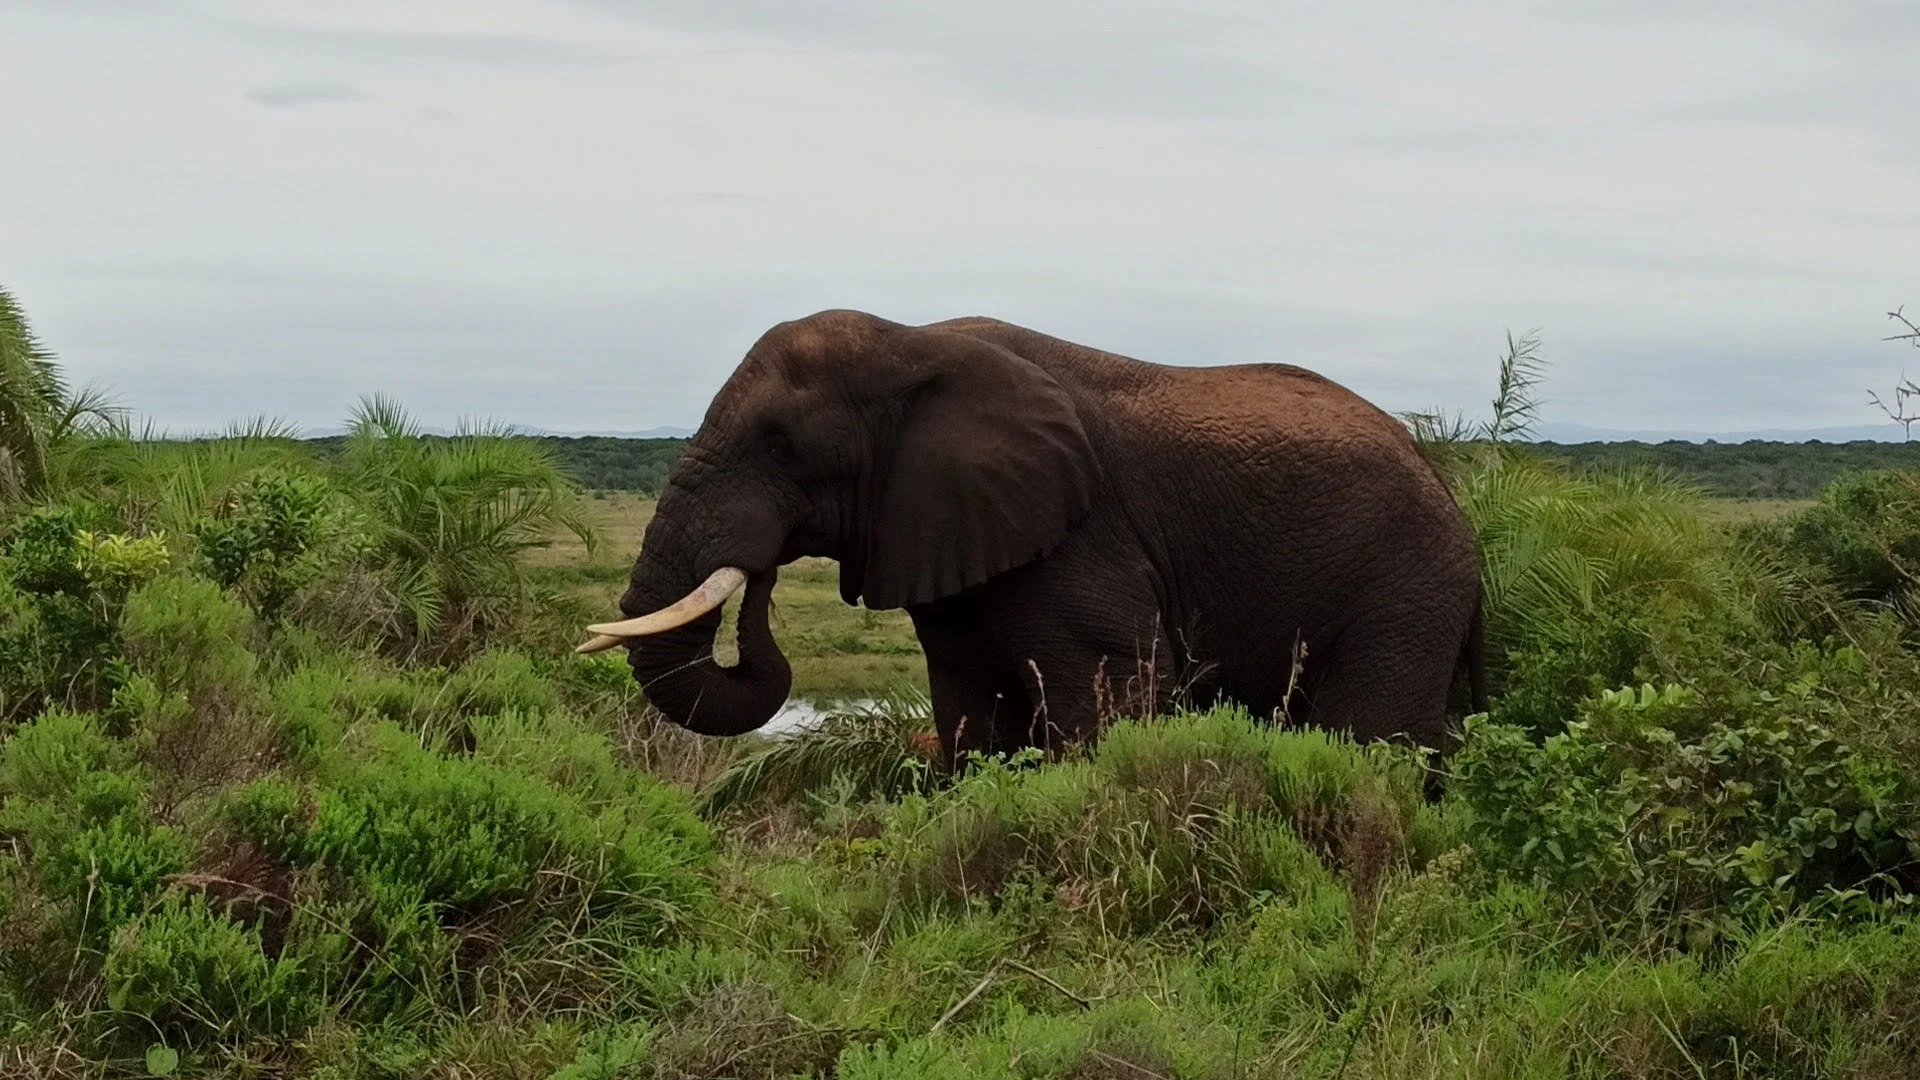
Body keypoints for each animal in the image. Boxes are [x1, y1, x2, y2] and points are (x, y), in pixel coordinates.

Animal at [579, 309, 1487, 773]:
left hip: (1406, 583)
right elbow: (970, 706)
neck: (908, 340)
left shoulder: (1081, 534)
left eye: (779, 446)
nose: (760, 575)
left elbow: (1112, 698)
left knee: (1371, 740)